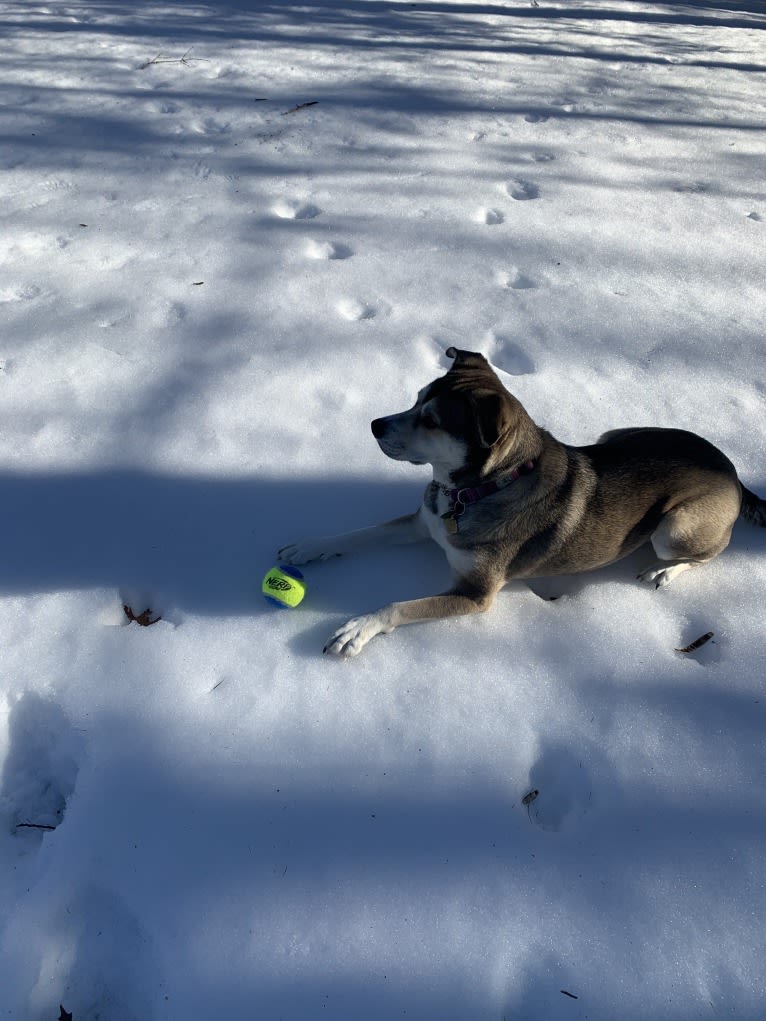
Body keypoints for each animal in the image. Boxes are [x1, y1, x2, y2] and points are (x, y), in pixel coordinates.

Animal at [279, 347, 763, 657]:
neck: (474, 490)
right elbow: (361, 534)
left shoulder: (476, 594)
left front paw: (358, 628)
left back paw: (663, 572)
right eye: (415, 400)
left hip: (674, 528)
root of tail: (732, 470)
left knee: (704, 554)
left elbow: (399, 605)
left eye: (431, 421)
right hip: (618, 434)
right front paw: (311, 546)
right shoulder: (423, 522)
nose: (375, 425)